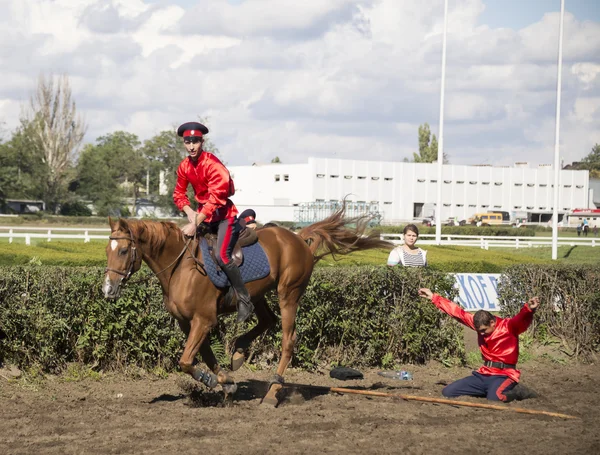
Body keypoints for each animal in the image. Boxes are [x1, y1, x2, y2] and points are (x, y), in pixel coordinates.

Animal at [103, 208, 394, 404]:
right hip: (257, 294)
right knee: (267, 320)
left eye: (123, 251)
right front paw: (225, 382)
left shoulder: (204, 320)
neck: (180, 267)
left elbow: (186, 360)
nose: (107, 289)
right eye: (108, 251)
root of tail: (299, 238)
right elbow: (204, 355)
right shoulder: (189, 323)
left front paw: (212, 380)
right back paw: (240, 352)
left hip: (288, 293)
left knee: (288, 339)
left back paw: (273, 391)